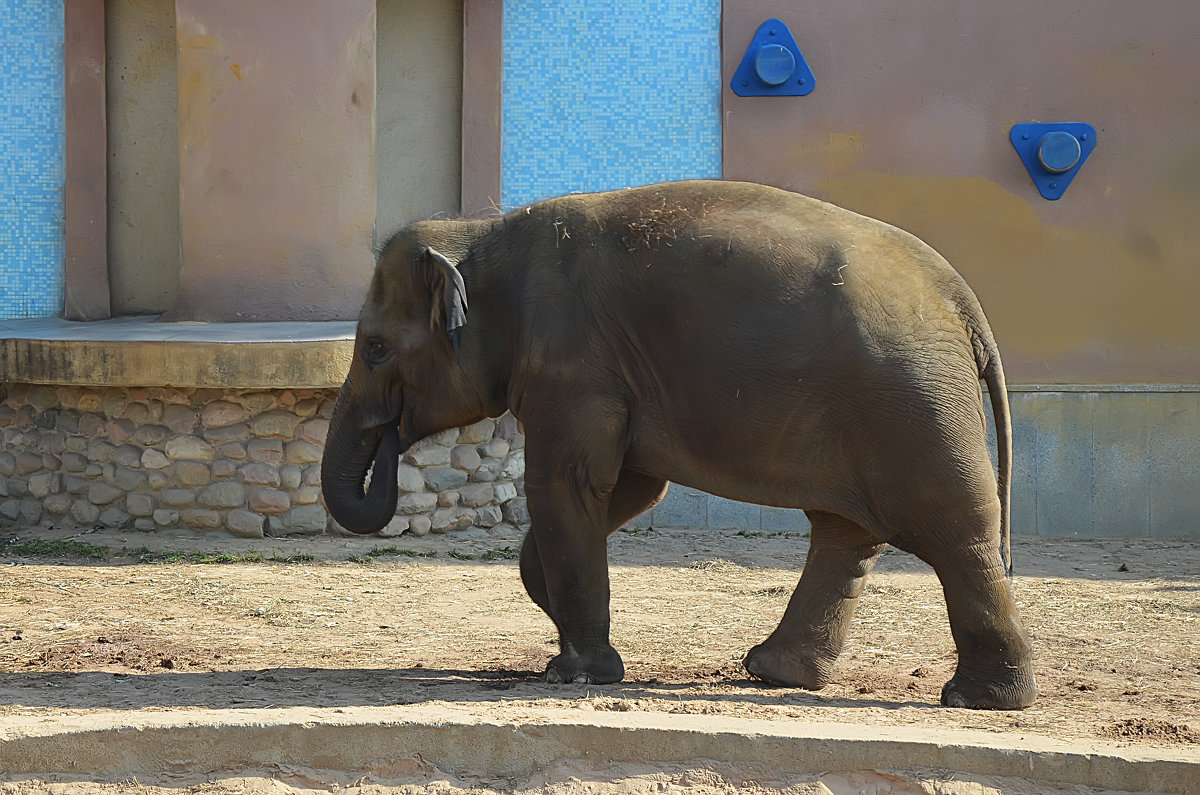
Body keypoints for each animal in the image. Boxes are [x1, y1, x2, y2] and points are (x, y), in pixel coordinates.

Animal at [324, 178, 1036, 710]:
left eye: (376, 347)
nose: (389, 440)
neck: (484, 234)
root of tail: (960, 296)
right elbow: (630, 486)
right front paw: (569, 635)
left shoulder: (573, 364)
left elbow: (568, 481)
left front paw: (574, 674)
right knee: (847, 532)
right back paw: (775, 673)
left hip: (911, 403)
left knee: (953, 531)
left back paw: (981, 699)